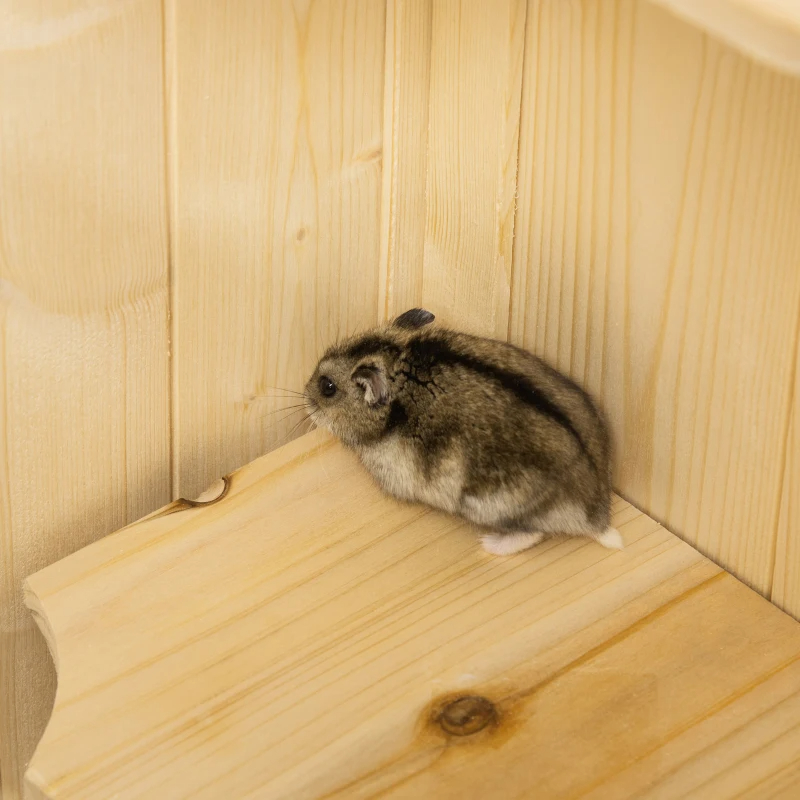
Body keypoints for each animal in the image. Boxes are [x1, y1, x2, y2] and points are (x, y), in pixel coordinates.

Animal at [303, 308, 622, 555]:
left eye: (327, 387)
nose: (304, 397)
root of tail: (598, 516)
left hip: (492, 505)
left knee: (531, 533)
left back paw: (488, 544)